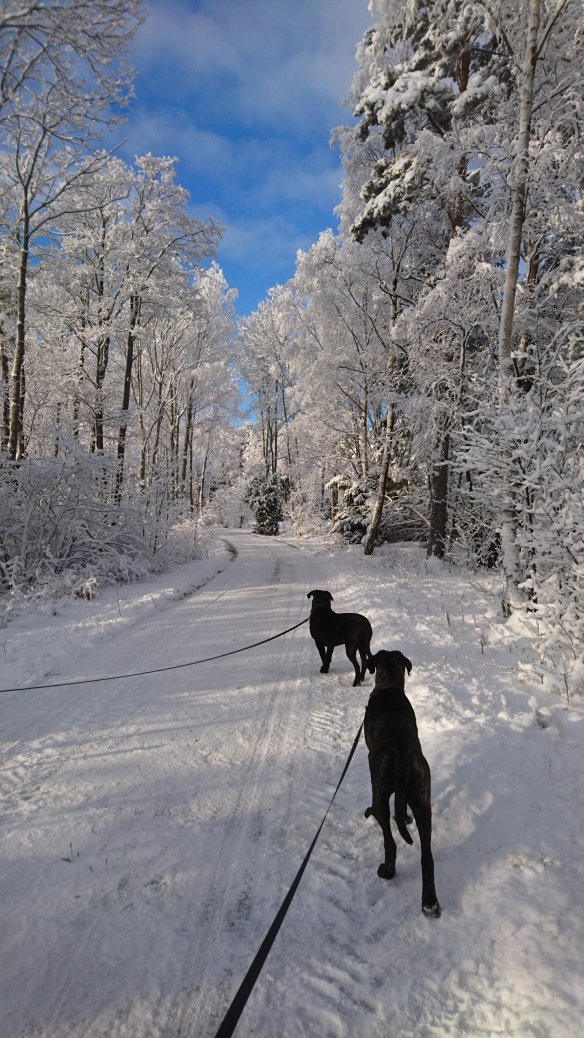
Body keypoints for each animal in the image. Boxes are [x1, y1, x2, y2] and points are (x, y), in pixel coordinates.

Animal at [364, 650, 440, 918]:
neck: (389, 687)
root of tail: (401, 753)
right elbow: (402, 805)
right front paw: (405, 817)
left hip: (379, 794)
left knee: (390, 839)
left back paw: (387, 869)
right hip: (423, 800)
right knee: (427, 857)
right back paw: (430, 902)